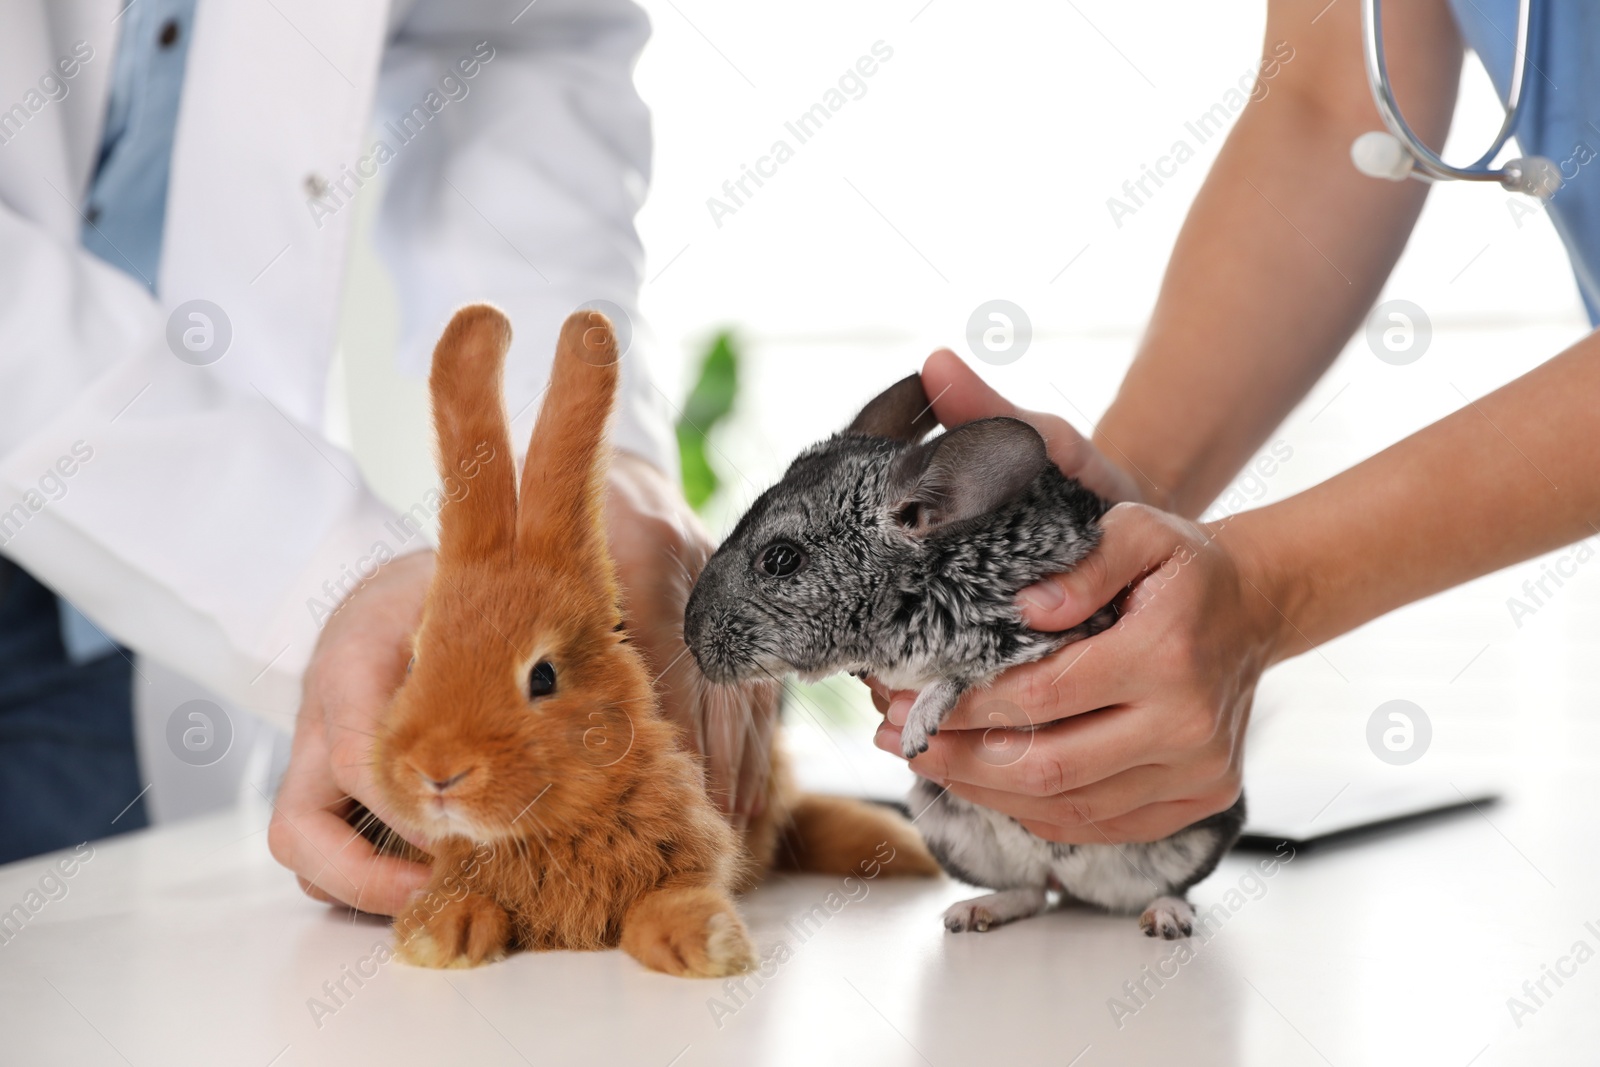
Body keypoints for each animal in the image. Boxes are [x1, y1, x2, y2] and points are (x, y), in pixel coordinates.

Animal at [371, 307, 934, 979]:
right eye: (413, 663)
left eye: (544, 676)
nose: (437, 772)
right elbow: (461, 895)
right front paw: (444, 934)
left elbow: (670, 899)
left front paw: (707, 944)